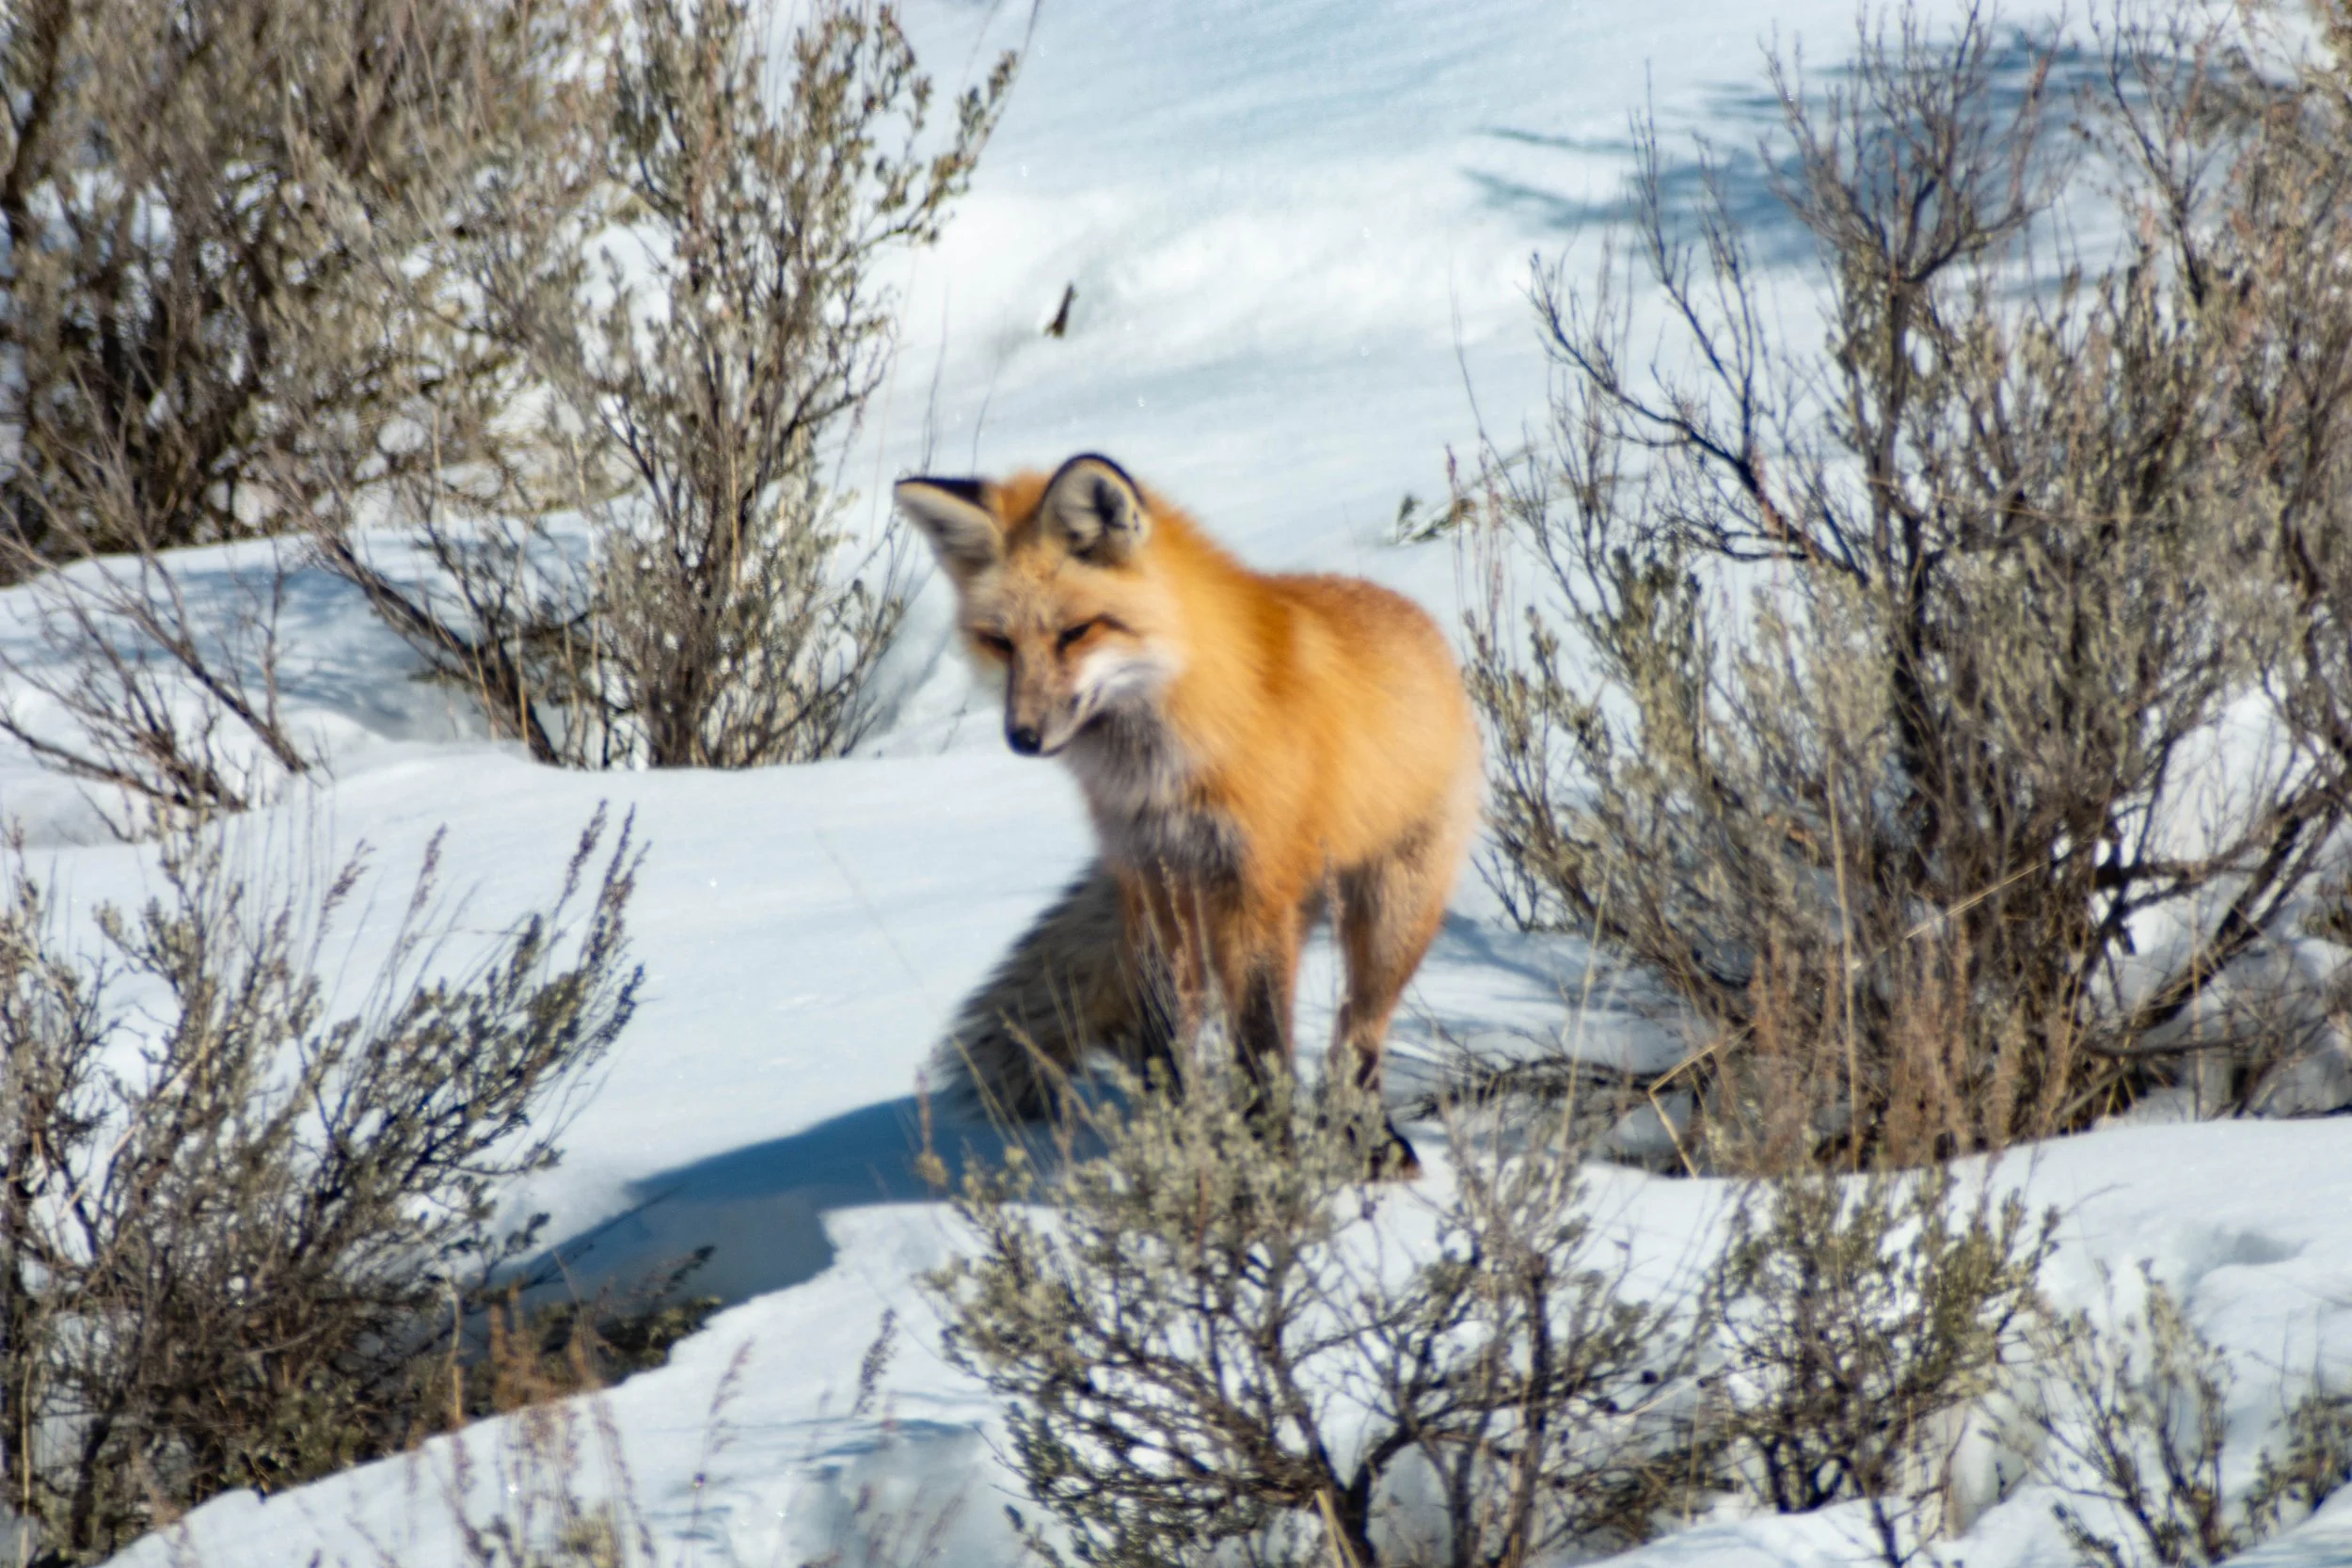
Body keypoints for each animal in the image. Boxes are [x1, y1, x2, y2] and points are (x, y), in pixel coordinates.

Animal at [896, 453, 1480, 1167]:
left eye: (1076, 633)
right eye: (999, 642)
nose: (1022, 737)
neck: (1160, 774)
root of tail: (1425, 627)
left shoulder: (1252, 887)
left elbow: (1261, 1042)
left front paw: (1267, 1158)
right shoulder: (1154, 882)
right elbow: (1164, 1039)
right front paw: (1175, 1146)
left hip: (1391, 915)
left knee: (1357, 1033)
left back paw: (1367, 1142)